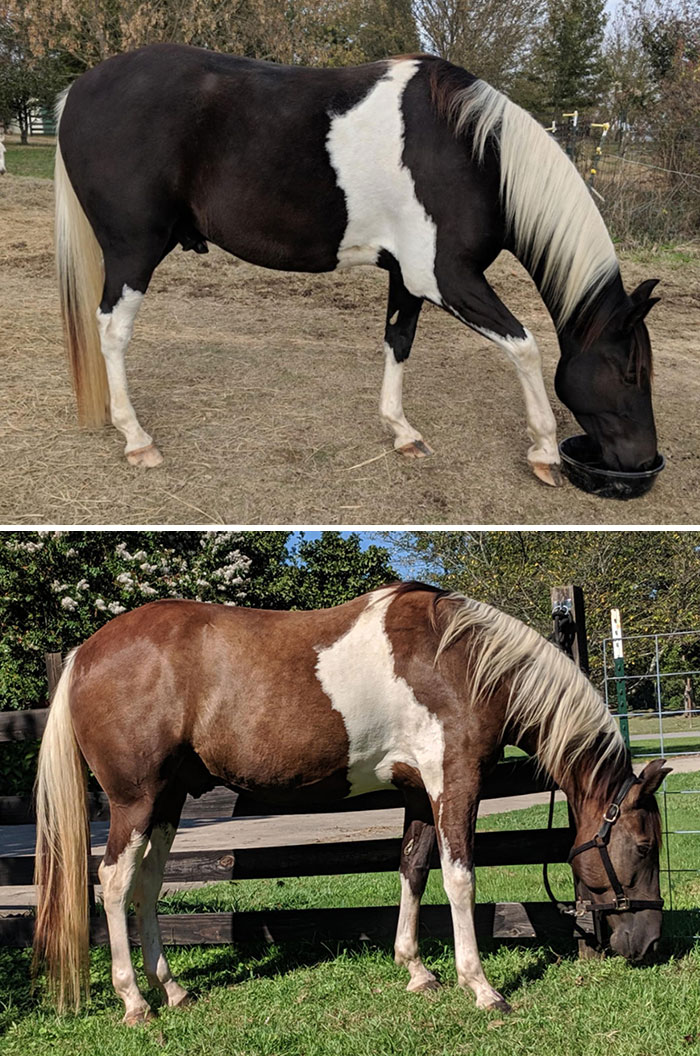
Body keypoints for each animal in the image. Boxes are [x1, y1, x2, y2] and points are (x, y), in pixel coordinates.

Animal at [33, 581, 668, 1023]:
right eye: (642, 845)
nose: (649, 944)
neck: (460, 661)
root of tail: (85, 653)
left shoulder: (418, 792)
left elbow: (413, 869)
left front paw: (416, 970)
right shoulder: (455, 783)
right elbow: (459, 878)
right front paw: (482, 987)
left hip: (166, 803)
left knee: (147, 885)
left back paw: (171, 989)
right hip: (134, 802)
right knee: (114, 882)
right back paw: (134, 1002)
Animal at [53, 45, 661, 485]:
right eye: (631, 371)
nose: (641, 461)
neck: (472, 154)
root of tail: (77, 90)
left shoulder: (408, 278)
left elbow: (399, 343)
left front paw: (402, 431)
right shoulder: (448, 279)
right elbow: (526, 346)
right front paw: (544, 451)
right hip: (133, 250)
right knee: (112, 330)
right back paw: (136, 438)